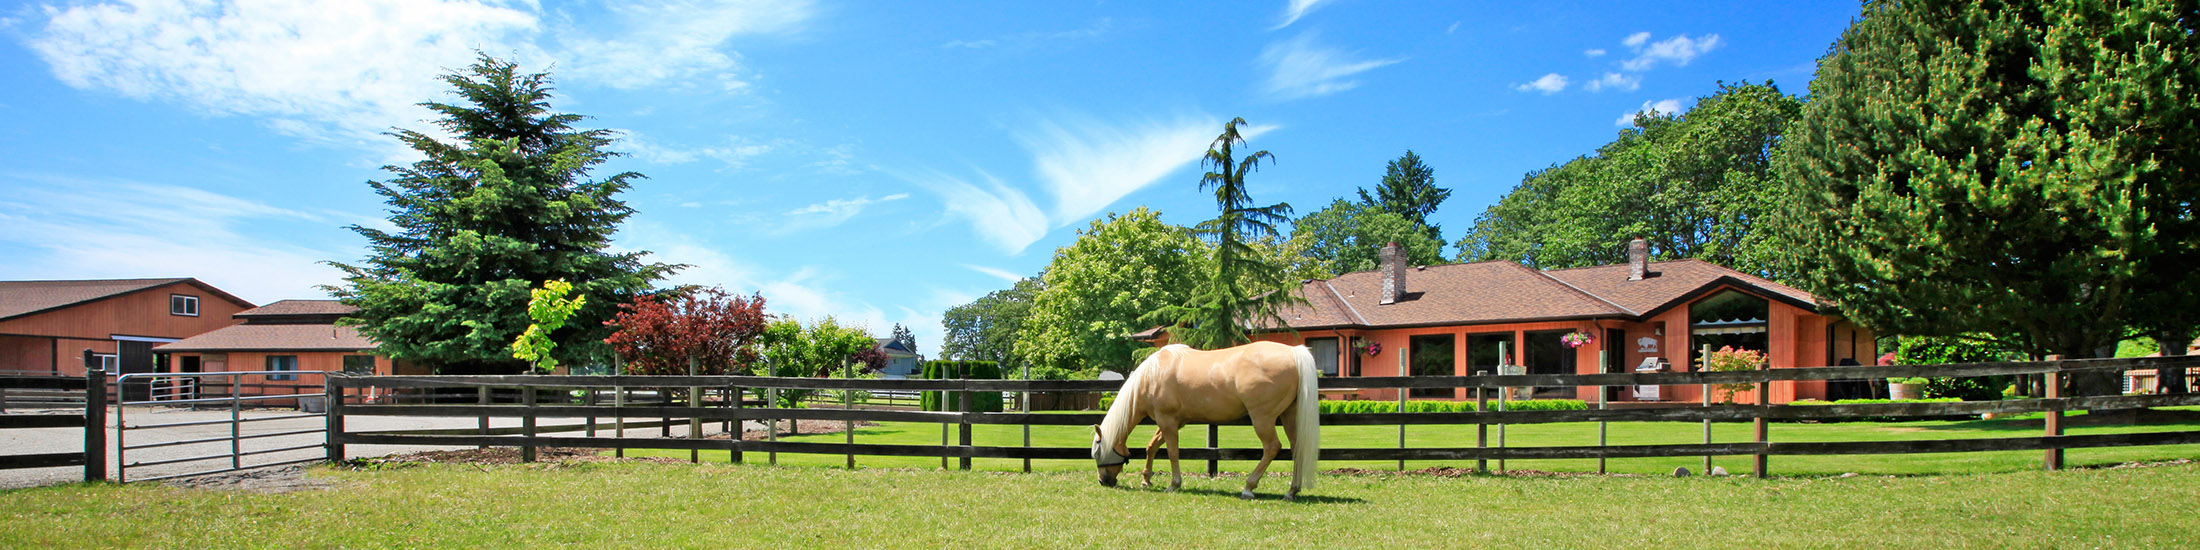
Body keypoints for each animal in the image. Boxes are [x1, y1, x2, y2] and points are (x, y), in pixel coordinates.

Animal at [1091, 341, 1320, 500]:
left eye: (1097, 453)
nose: (1103, 481)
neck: (1151, 375)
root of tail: (1293, 352)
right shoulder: (1173, 422)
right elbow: (1152, 447)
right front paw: (1146, 479)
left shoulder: (1167, 421)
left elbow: (1172, 452)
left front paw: (1174, 484)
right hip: (1289, 415)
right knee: (1297, 448)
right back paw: (1291, 491)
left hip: (1262, 418)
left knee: (1272, 447)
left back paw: (1248, 487)